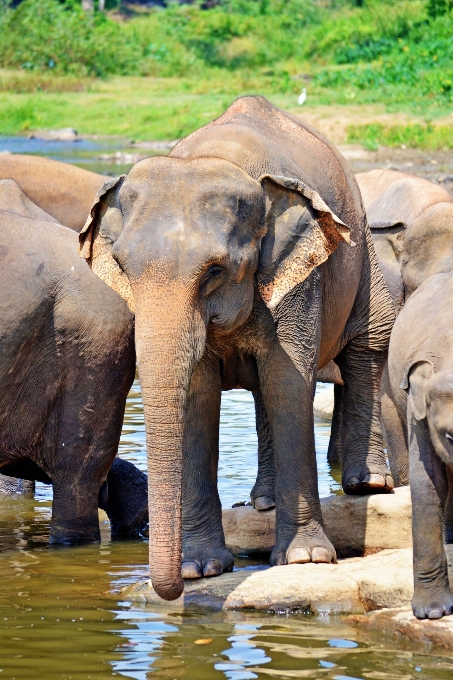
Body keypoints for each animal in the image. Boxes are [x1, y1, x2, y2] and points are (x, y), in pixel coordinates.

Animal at [79, 94, 394, 600]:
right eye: (123, 268)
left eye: (215, 270)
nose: (171, 586)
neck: (221, 159)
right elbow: (199, 394)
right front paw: (199, 568)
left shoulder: (300, 280)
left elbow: (289, 383)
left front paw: (304, 559)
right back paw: (262, 501)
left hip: (360, 240)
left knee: (367, 343)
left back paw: (369, 486)